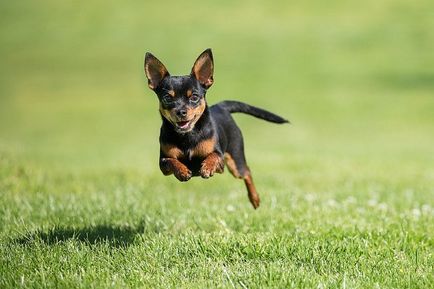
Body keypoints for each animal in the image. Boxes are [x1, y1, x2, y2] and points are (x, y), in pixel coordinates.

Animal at [144, 49, 290, 207]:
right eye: (167, 98)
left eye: (194, 97)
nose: (181, 112)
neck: (188, 135)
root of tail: (221, 106)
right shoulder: (163, 163)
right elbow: (171, 161)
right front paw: (182, 171)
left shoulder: (220, 162)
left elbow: (213, 156)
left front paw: (207, 168)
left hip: (235, 162)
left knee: (247, 172)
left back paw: (254, 198)